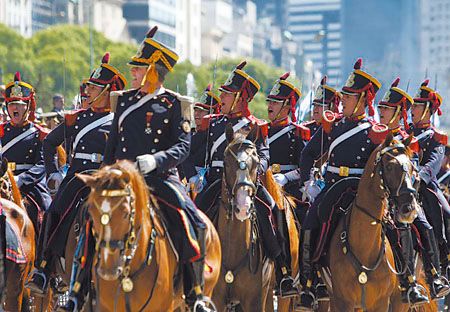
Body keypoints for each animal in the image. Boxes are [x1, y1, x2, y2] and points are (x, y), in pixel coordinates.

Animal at [326, 133, 422, 310]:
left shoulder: (380, 303)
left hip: (399, 302)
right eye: (389, 167)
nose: (409, 209)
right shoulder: (343, 302)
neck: (364, 247)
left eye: (412, 169)